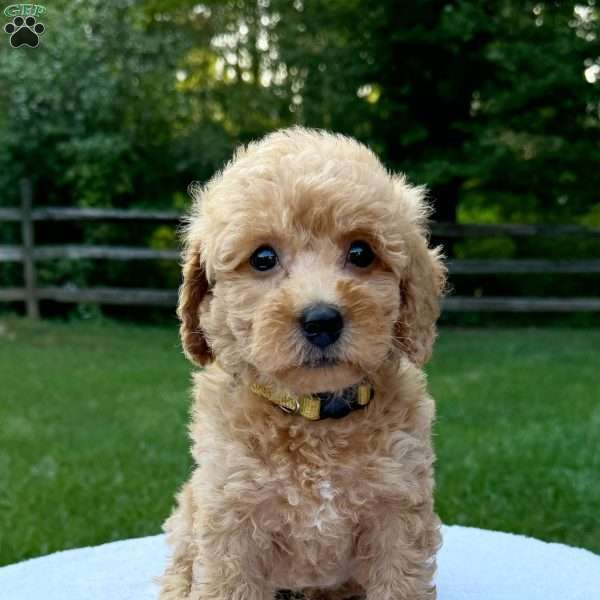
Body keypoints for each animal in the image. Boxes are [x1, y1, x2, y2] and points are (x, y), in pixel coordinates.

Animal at [158, 127, 446, 600]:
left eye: (362, 253)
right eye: (263, 258)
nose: (322, 319)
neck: (315, 418)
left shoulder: (397, 510)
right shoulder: (230, 517)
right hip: (188, 516)